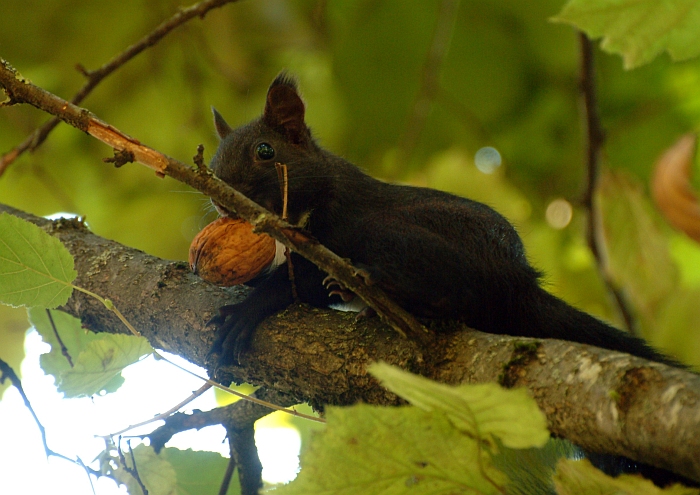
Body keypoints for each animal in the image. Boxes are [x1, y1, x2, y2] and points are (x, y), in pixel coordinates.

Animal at [206, 74, 688, 488]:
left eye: (265, 151)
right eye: (211, 161)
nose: (221, 196)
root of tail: (519, 282)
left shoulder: (337, 225)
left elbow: (295, 284)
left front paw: (246, 310)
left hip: (406, 238)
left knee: (456, 291)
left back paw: (390, 294)